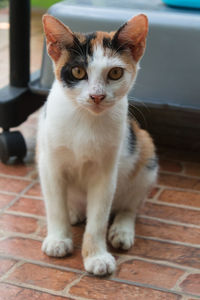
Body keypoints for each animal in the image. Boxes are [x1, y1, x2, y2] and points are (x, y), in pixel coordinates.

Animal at [38, 14, 158, 276]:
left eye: (115, 73)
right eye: (77, 71)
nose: (96, 96)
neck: (85, 119)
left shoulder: (105, 173)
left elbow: (98, 219)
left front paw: (96, 256)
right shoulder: (49, 164)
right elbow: (54, 205)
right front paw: (58, 239)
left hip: (145, 152)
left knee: (129, 206)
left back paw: (122, 230)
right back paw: (73, 212)